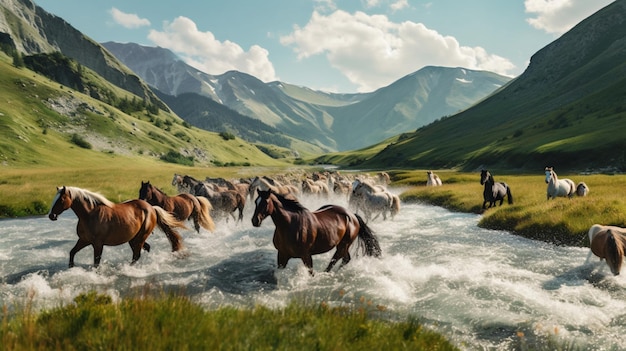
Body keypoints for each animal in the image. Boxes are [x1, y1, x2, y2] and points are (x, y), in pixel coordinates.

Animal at [47, 187, 184, 266]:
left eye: (61, 199)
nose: (51, 215)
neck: (89, 215)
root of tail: (152, 208)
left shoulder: (98, 244)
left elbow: (96, 262)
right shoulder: (84, 240)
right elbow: (72, 252)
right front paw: (71, 267)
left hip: (140, 238)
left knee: (136, 255)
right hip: (133, 239)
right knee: (144, 249)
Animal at [250, 190, 380, 276]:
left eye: (265, 202)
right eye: (256, 202)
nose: (255, 221)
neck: (290, 225)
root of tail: (352, 216)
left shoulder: (306, 256)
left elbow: (311, 273)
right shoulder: (282, 255)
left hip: (344, 245)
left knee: (336, 260)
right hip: (342, 245)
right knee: (345, 259)